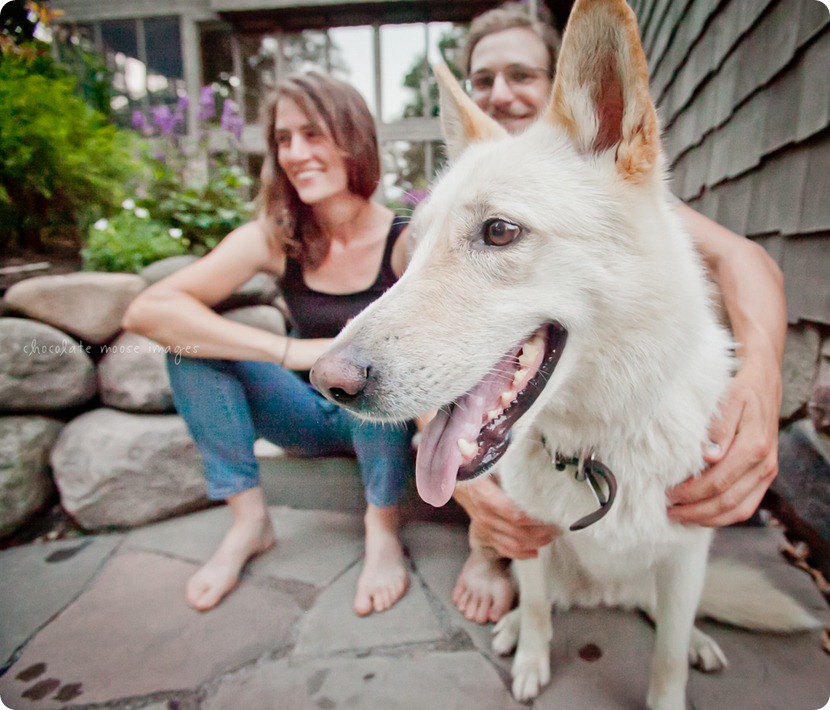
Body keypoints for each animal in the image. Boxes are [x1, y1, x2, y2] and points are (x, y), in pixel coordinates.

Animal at [310, 1, 820, 710]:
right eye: (415, 247)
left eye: (499, 231)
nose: (326, 381)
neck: (598, 449)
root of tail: (608, 593)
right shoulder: (532, 539)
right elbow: (538, 609)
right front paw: (529, 658)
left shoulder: (685, 554)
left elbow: (666, 659)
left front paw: (673, 675)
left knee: (668, 616)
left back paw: (693, 637)